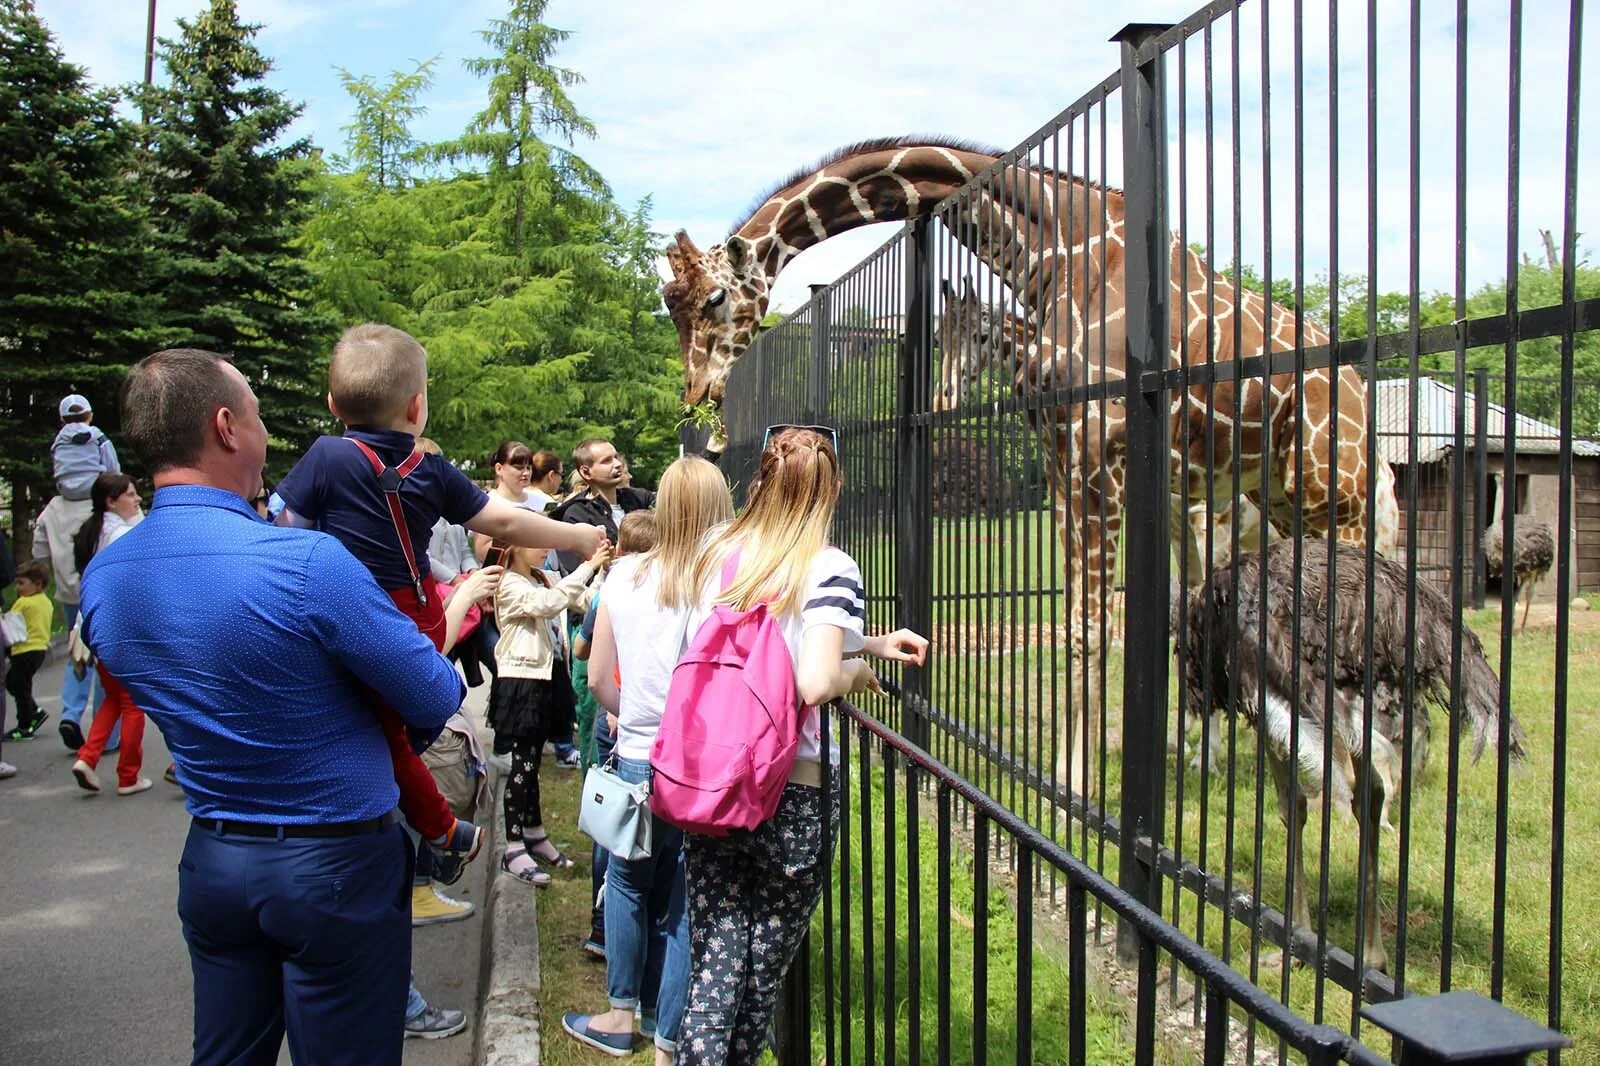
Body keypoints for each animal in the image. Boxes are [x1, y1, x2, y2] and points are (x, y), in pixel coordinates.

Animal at [659, 136, 1388, 793]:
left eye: (714, 300)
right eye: (670, 305)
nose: (695, 394)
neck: (1053, 254)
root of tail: (1360, 386)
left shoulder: (1098, 451)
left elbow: (1094, 626)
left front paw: (1077, 788)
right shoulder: (1061, 460)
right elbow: (1076, 625)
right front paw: (1068, 776)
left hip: (1331, 490)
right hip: (1280, 498)